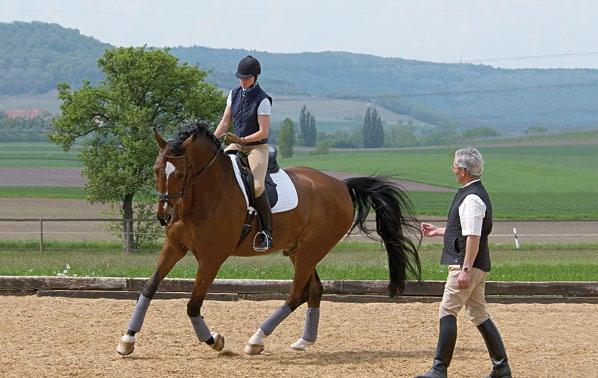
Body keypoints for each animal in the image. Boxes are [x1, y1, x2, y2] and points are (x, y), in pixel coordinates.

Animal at [116, 121, 422, 354]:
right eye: (156, 170)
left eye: (180, 173)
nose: (164, 216)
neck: (203, 195)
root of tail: (341, 185)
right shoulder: (175, 246)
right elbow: (148, 288)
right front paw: (127, 340)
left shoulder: (212, 258)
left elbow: (193, 304)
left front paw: (214, 340)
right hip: (299, 250)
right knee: (314, 290)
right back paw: (303, 341)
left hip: (311, 249)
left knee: (297, 294)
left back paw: (256, 340)